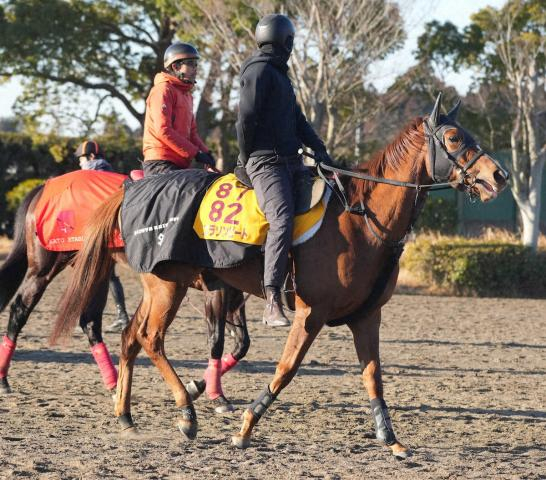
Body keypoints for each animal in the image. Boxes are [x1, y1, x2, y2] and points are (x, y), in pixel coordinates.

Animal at [0, 182, 250, 410]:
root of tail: (43, 187)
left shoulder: (235, 293)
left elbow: (242, 343)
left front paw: (199, 386)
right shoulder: (216, 287)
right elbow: (217, 340)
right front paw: (216, 395)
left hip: (96, 269)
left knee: (90, 322)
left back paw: (114, 384)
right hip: (46, 267)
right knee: (20, 310)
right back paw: (3, 378)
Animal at [51, 94, 506, 458]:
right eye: (453, 138)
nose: (498, 175)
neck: (360, 219)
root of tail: (132, 189)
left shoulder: (366, 316)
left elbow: (373, 376)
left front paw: (390, 439)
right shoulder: (310, 313)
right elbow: (286, 369)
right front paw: (246, 426)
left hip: (161, 286)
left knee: (132, 337)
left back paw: (126, 415)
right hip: (168, 286)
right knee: (150, 338)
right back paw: (186, 412)